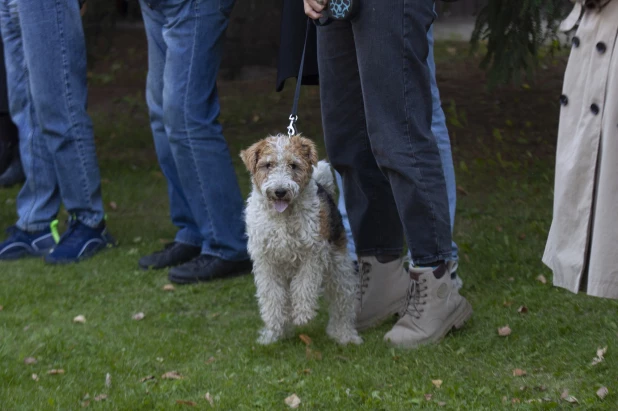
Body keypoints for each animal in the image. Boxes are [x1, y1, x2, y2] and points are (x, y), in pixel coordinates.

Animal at [238, 136, 358, 348]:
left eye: (293, 165)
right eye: (268, 165)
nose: (280, 191)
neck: (282, 217)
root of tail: (324, 186)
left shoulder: (313, 254)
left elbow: (304, 286)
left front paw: (302, 315)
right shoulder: (266, 261)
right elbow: (272, 296)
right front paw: (274, 323)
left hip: (339, 269)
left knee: (342, 304)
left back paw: (345, 335)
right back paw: (275, 334)